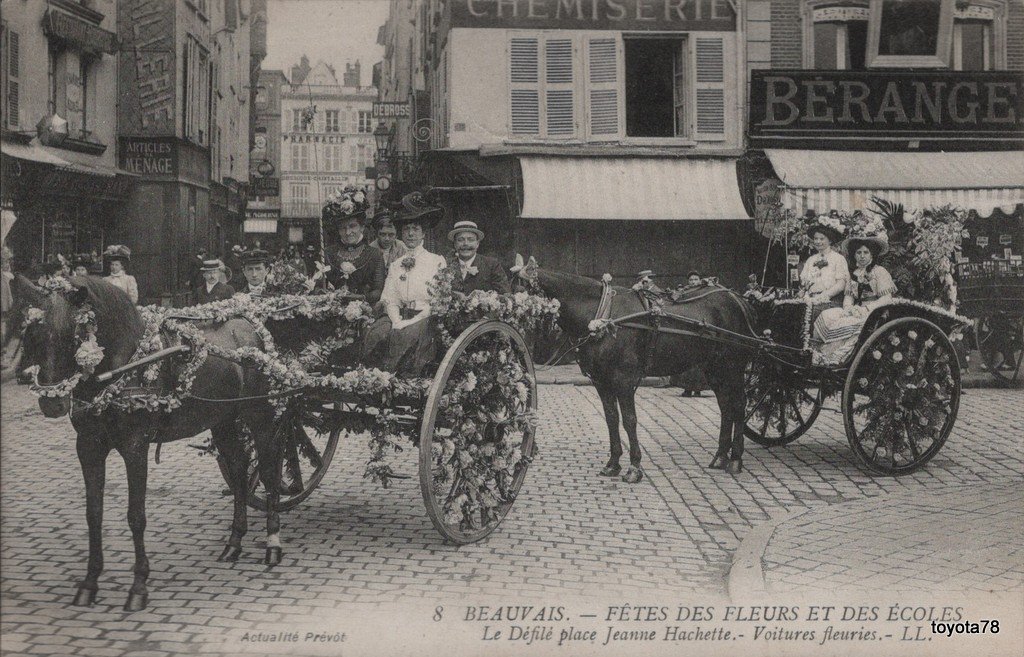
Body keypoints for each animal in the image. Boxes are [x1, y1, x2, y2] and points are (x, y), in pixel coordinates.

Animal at [24, 274, 288, 609]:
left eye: (74, 338)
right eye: (32, 335)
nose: (52, 402)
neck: (124, 367)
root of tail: (253, 327)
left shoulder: (135, 447)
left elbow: (136, 516)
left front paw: (138, 586)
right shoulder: (88, 447)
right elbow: (93, 514)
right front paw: (89, 582)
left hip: (260, 416)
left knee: (269, 470)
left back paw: (273, 544)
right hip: (224, 419)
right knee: (240, 472)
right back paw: (234, 542)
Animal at [520, 260, 761, 480]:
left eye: (519, 291)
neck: (603, 313)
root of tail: (739, 300)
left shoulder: (624, 380)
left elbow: (629, 420)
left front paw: (634, 467)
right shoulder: (601, 381)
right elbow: (611, 419)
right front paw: (613, 463)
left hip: (733, 368)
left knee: (739, 406)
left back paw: (735, 459)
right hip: (715, 370)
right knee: (726, 407)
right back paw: (720, 457)